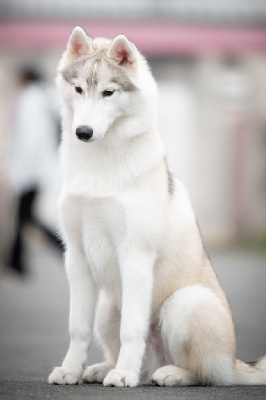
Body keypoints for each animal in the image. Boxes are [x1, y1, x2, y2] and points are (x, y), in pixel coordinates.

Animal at [48, 25, 266, 388]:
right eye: (78, 89)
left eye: (108, 93)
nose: (83, 132)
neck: (100, 165)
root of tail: (236, 362)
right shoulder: (76, 257)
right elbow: (77, 327)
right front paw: (70, 370)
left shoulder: (135, 255)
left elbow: (132, 329)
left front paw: (123, 375)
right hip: (107, 307)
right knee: (135, 358)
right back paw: (105, 368)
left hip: (184, 304)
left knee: (205, 373)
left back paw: (167, 374)